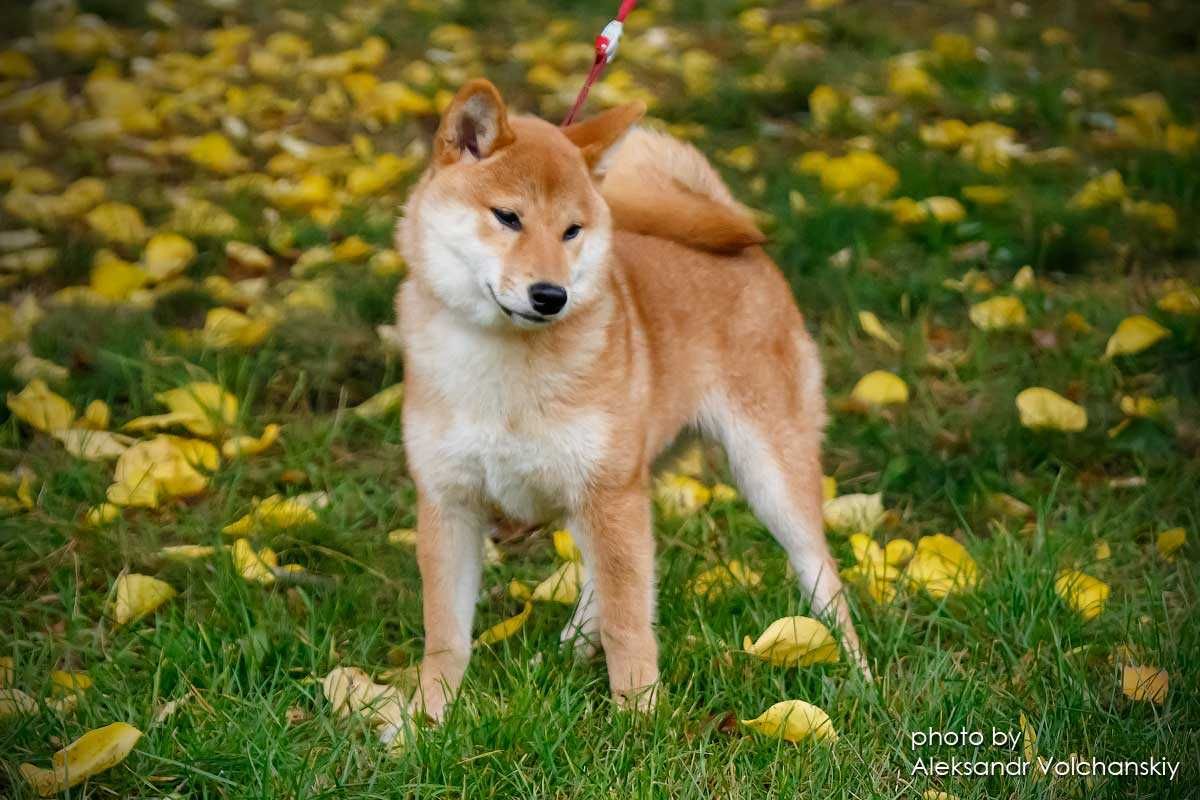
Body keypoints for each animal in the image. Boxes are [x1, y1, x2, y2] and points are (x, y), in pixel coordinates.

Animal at [391, 79, 864, 734]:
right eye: (507, 217)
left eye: (572, 231)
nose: (551, 295)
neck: (505, 372)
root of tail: (743, 241)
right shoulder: (450, 503)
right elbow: (445, 636)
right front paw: (425, 721)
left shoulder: (607, 492)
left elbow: (630, 625)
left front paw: (639, 720)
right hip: (621, 479)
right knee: (609, 580)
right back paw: (565, 649)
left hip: (763, 474)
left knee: (821, 576)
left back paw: (860, 678)